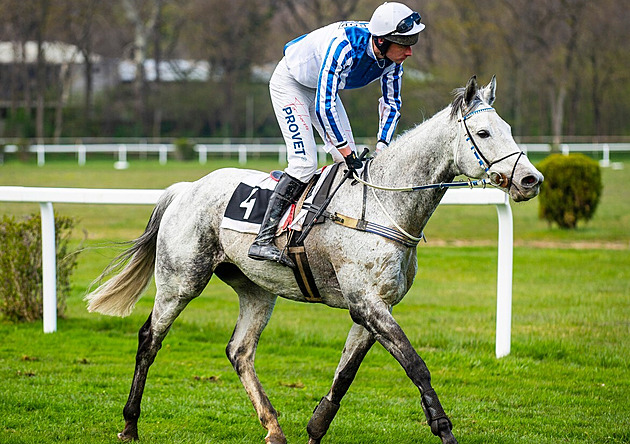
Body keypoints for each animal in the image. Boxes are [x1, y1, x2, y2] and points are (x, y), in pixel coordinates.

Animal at [86, 76, 544, 444]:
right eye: (483, 132)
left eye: (507, 129)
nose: (531, 180)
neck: (383, 206)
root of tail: (186, 187)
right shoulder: (367, 303)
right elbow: (416, 365)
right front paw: (443, 428)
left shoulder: (374, 307)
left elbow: (344, 377)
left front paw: (315, 427)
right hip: (181, 281)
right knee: (149, 339)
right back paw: (130, 424)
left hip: (257, 290)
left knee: (239, 351)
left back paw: (273, 427)